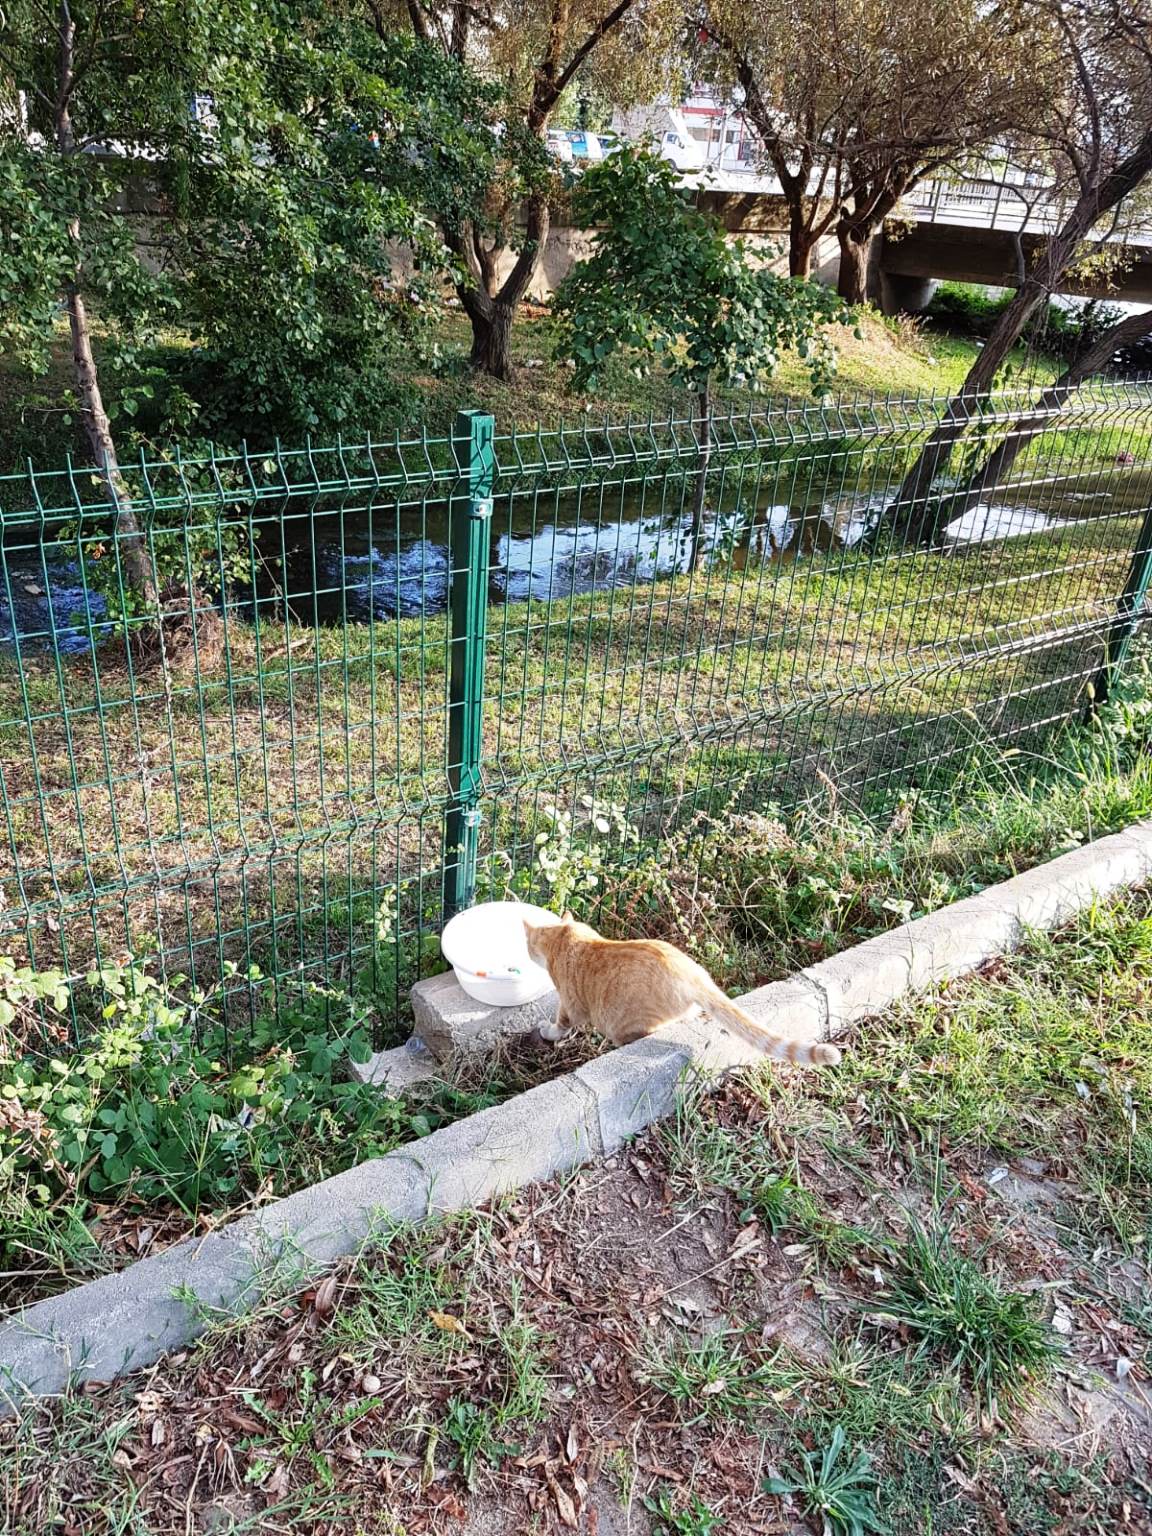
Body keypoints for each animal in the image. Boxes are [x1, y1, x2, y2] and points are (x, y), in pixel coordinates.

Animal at [522, 915, 841, 1062]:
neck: (566, 935)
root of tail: (693, 974)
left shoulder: (570, 1005)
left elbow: (561, 1023)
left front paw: (548, 1032)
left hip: (624, 1027)